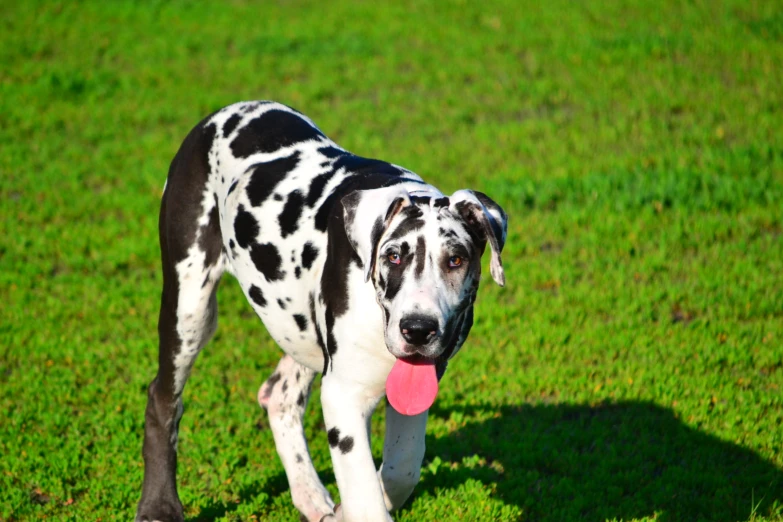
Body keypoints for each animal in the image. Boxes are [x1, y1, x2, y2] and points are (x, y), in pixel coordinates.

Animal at [135, 101, 508, 520]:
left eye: (456, 259)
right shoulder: (343, 397)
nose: (418, 329)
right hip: (190, 309)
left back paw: (310, 495)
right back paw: (159, 505)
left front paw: (347, 509)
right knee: (163, 399)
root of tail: (221, 114)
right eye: (393, 256)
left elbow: (402, 466)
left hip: (298, 326)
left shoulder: (414, 386)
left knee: (279, 395)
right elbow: (367, 496)